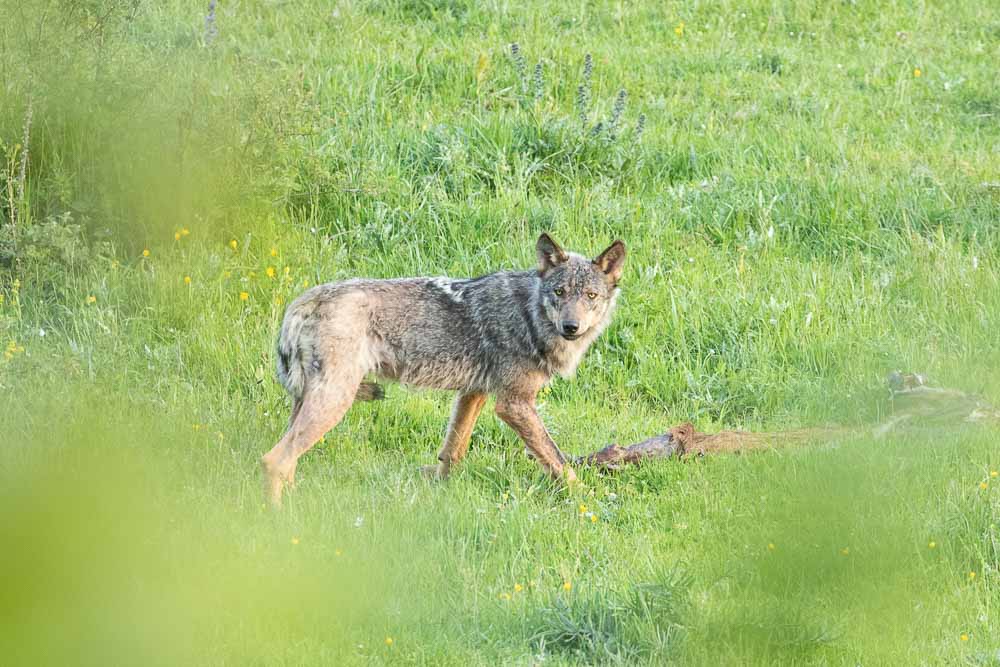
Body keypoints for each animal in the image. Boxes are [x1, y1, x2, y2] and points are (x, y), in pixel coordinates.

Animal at [261, 233, 626, 505]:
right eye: (559, 292)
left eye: (590, 295)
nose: (571, 327)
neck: (529, 315)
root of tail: (301, 302)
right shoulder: (513, 404)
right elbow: (558, 461)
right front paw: (586, 499)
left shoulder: (474, 394)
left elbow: (453, 450)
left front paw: (439, 491)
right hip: (336, 401)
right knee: (274, 460)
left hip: (312, 402)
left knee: (288, 460)